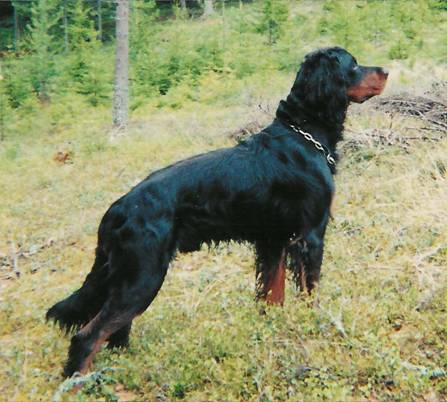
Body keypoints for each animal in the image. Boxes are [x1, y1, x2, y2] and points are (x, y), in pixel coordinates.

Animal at [46, 47, 388, 376]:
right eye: (353, 64)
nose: (385, 70)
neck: (303, 134)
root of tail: (116, 211)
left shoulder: (274, 239)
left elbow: (272, 291)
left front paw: (272, 328)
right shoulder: (311, 235)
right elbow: (309, 291)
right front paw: (313, 324)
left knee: (115, 331)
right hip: (143, 275)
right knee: (88, 336)